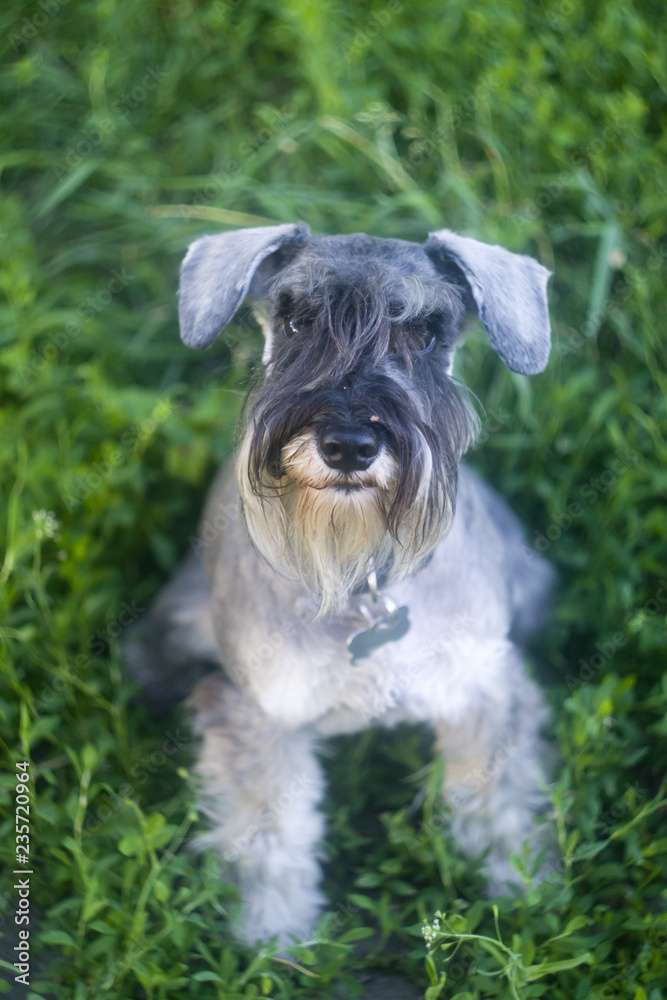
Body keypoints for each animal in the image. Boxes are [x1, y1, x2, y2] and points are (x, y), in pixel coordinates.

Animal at [124, 223, 552, 948]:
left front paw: (520, 892)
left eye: (425, 332)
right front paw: (274, 938)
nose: (349, 444)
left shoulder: (483, 691)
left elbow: (496, 799)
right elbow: (271, 831)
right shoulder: (263, 714)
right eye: (296, 320)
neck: (362, 580)